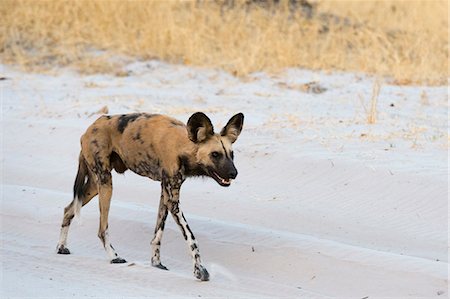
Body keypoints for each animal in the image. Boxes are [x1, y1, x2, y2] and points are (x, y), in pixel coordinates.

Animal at [58, 112, 246, 282]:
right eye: (215, 154)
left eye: (232, 155)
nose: (234, 173)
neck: (183, 145)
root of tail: (90, 128)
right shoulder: (173, 200)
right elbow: (191, 238)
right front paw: (200, 270)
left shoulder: (166, 193)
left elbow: (157, 234)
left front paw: (156, 263)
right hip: (105, 184)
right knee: (102, 229)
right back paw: (114, 256)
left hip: (95, 187)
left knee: (69, 209)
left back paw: (61, 247)